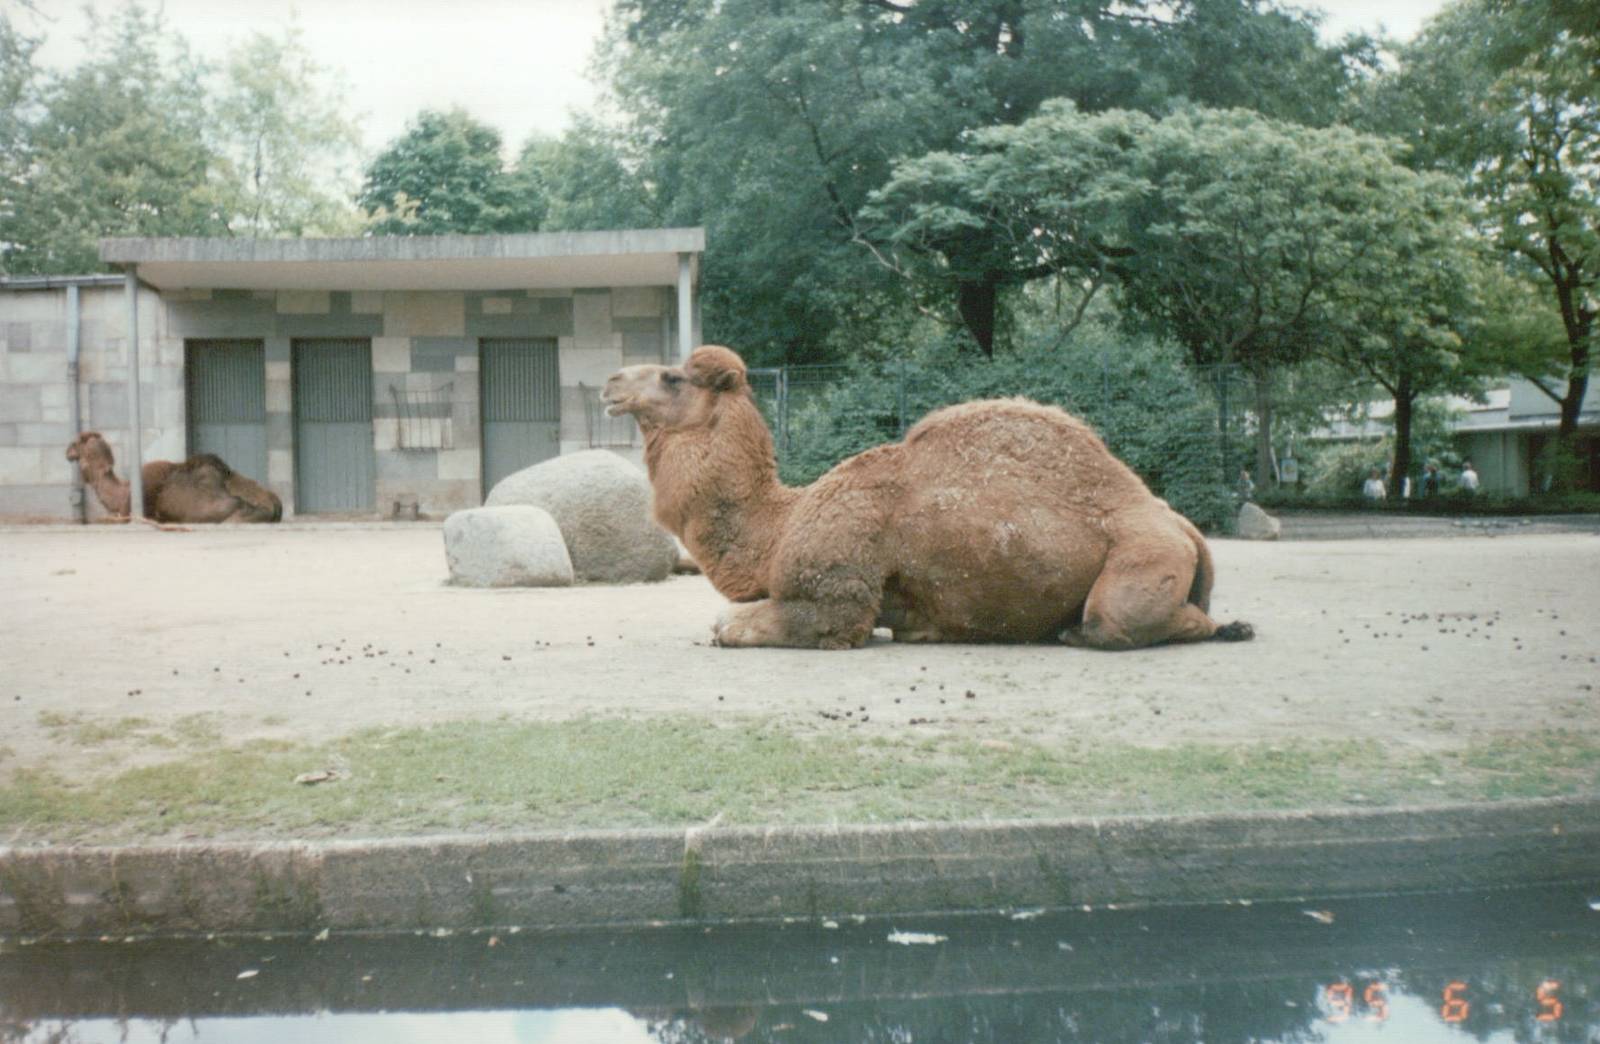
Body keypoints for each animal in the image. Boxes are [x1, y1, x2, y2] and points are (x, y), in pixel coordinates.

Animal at [602, 345, 1253, 651]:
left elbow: (728, 624)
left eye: (673, 378)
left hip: (1140, 559)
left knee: (1117, 620)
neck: (782, 521)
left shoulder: (834, 594)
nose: (611, 382)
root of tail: (1186, 529)